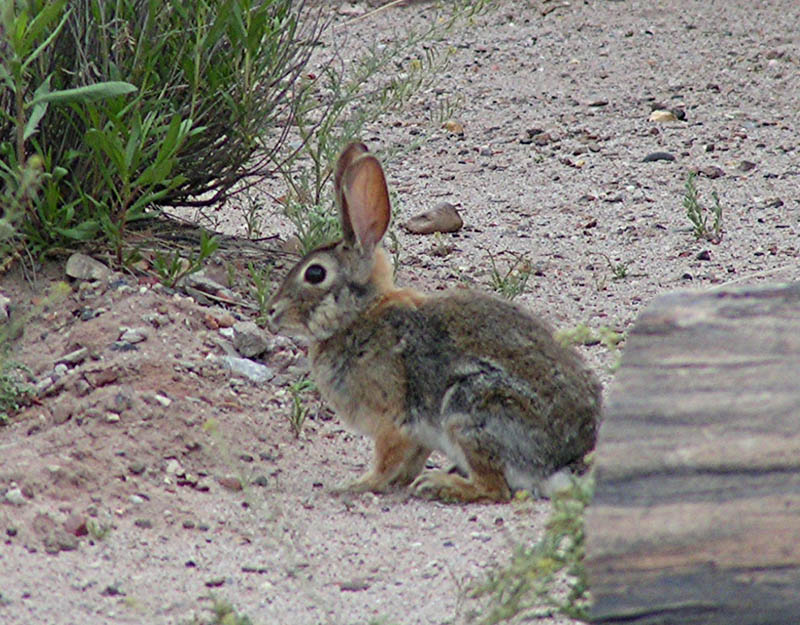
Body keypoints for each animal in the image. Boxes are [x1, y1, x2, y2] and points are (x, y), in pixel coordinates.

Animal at [268, 143, 600, 502]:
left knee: (495, 488)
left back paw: (440, 484)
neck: (359, 315)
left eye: (315, 273)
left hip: (467, 410)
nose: (272, 311)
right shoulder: (417, 437)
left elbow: (386, 461)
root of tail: (565, 462)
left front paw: (357, 485)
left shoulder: (392, 421)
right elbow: (408, 461)